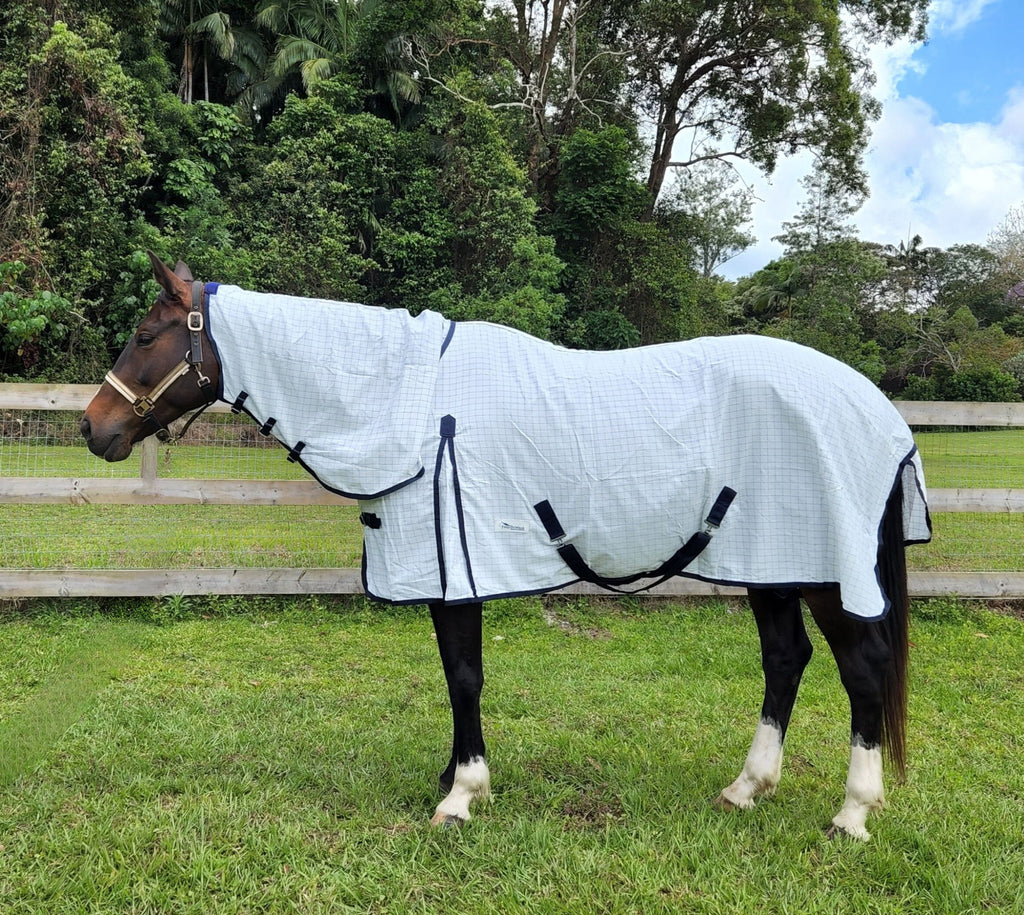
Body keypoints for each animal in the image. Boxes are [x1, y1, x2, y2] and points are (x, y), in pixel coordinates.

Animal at [80, 253, 931, 840]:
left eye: (146, 335)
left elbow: (464, 676)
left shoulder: (455, 572)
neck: (408, 401)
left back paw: (852, 814)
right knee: (786, 659)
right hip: (772, 564)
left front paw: (462, 793)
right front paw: (453, 773)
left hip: (827, 572)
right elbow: (456, 678)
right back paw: (746, 788)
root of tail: (874, 406)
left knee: (862, 669)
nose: (93, 427)